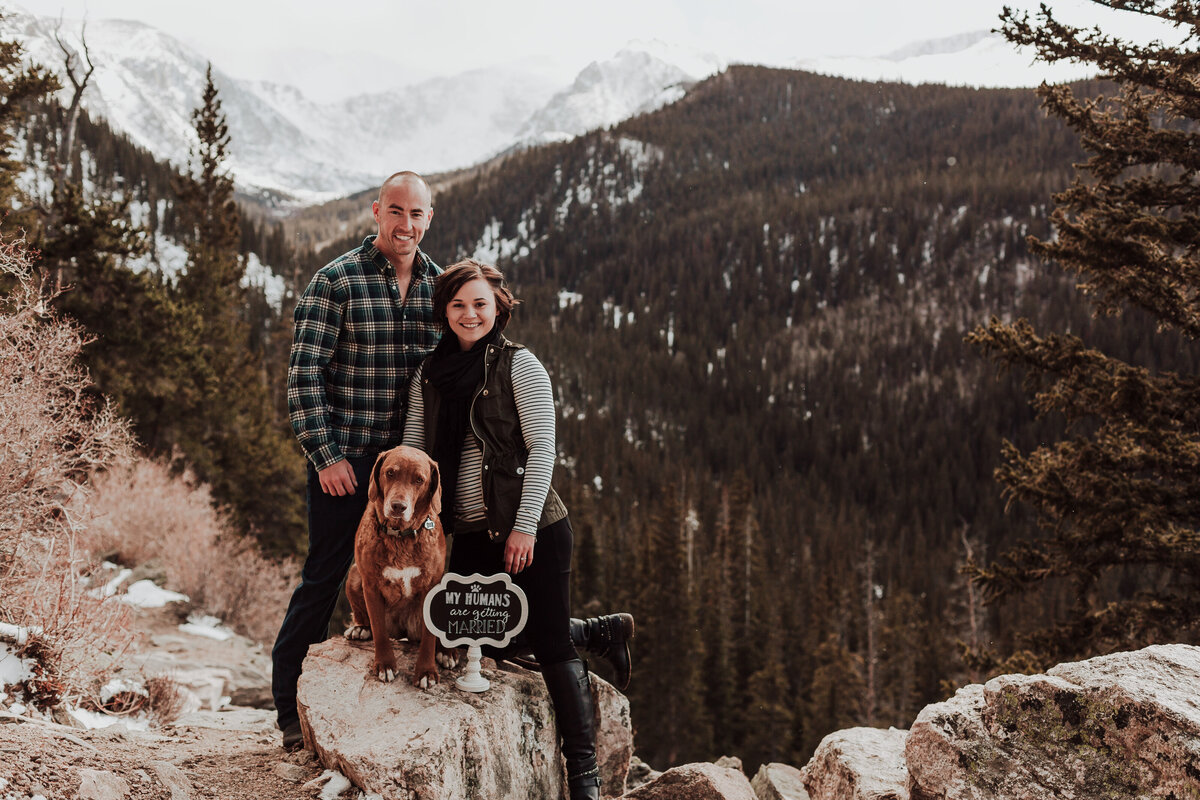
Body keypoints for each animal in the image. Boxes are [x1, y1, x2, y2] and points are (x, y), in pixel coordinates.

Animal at [348, 448, 451, 686]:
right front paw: (385, 664)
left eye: (419, 480)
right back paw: (360, 627)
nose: (398, 506)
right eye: (390, 473)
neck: (400, 536)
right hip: (354, 573)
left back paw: (447, 653)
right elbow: (379, 630)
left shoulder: (431, 586)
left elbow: (429, 638)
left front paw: (426, 671)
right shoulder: (371, 585)